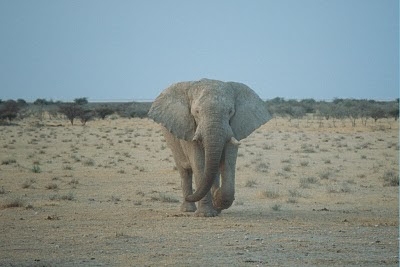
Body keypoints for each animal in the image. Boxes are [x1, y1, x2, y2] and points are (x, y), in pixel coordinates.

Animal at [148, 78, 270, 217]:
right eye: (196, 112)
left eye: (230, 112)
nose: (189, 197)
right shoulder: (190, 129)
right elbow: (199, 163)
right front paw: (205, 214)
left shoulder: (233, 128)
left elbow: (228, 161)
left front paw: (217, 199)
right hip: (172, 141)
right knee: (185, 171)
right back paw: (188, 209)